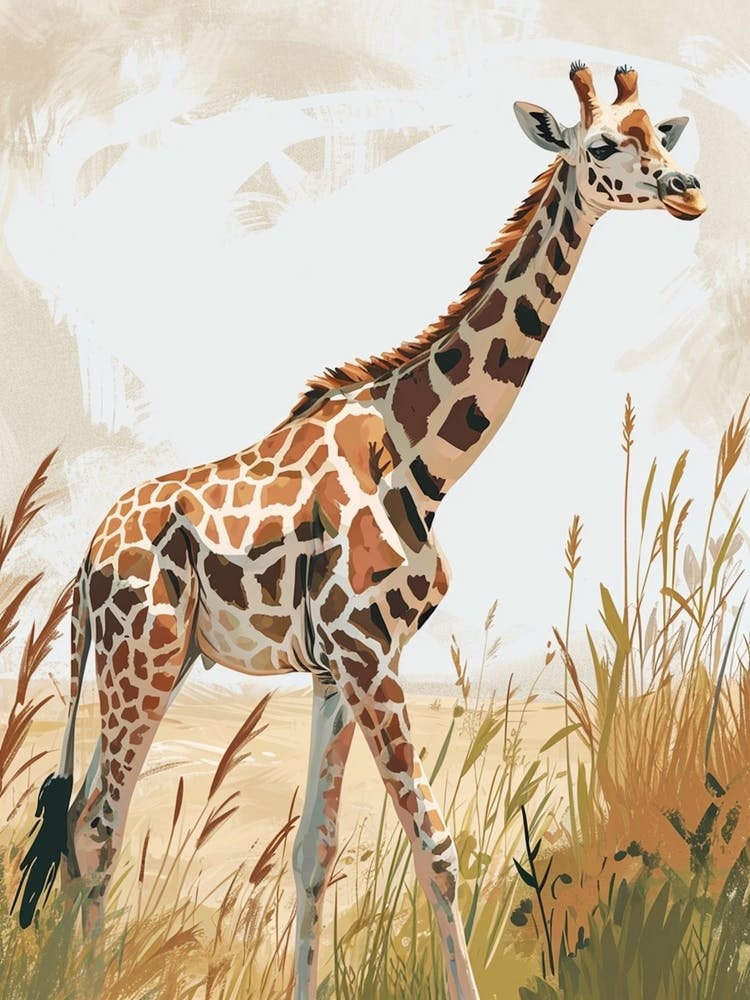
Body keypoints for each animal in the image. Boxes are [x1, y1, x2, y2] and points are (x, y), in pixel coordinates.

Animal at [16, 63, 704, 999]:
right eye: (601, 145)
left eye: (660, 136)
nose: (689, 189)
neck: (424, 455)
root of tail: (82, 566)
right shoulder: (369, 652)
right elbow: (437, 847)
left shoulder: (334, 669)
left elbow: (315, 851)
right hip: (142, 659)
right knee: (98, 826)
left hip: (156, 660)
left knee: (84, 818)